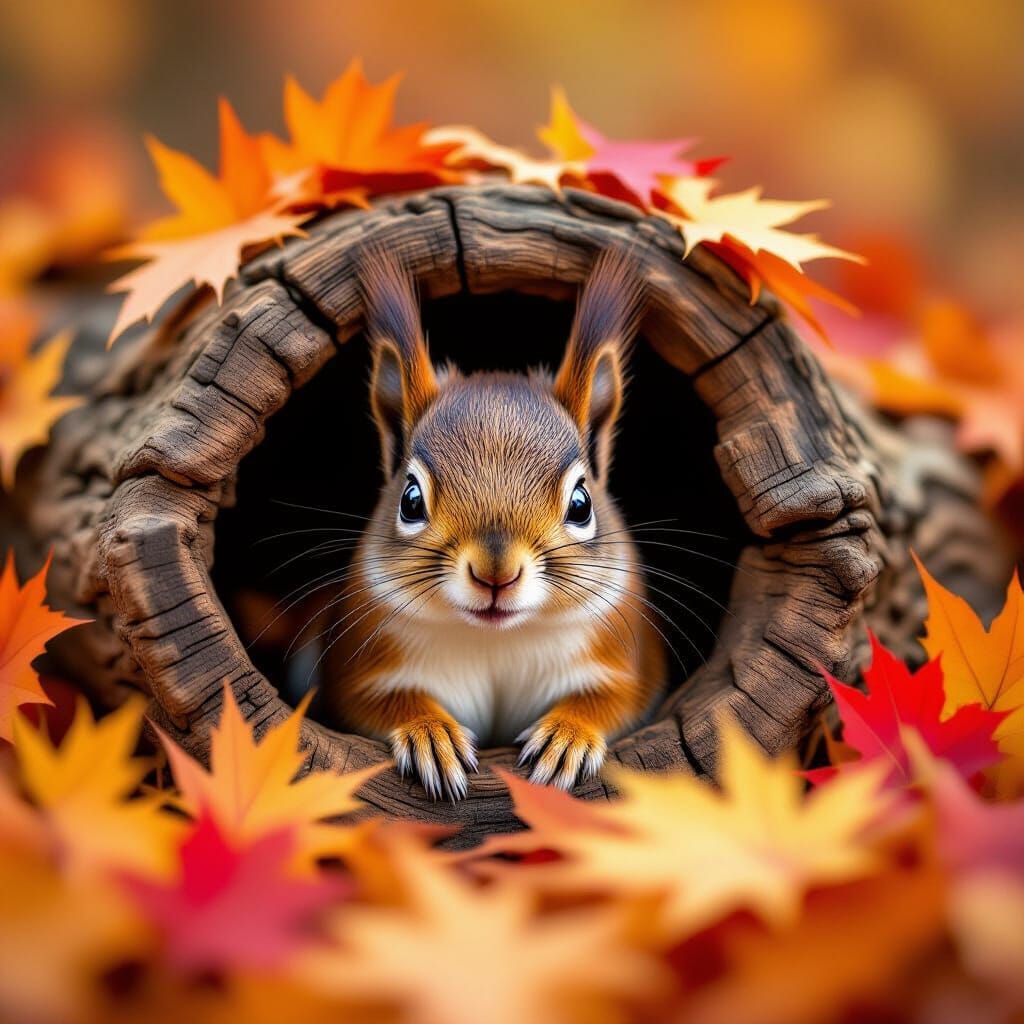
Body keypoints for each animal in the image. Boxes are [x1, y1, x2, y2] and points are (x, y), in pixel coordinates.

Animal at [316, 249, 666, 799]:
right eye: (410, 500)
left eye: (582, 504)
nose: (495, 575)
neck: (496, 640)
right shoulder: (354, 671)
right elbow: (380, 700)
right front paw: (430, 733)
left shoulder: (632, 663)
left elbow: (612, 698)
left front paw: (567, 735)